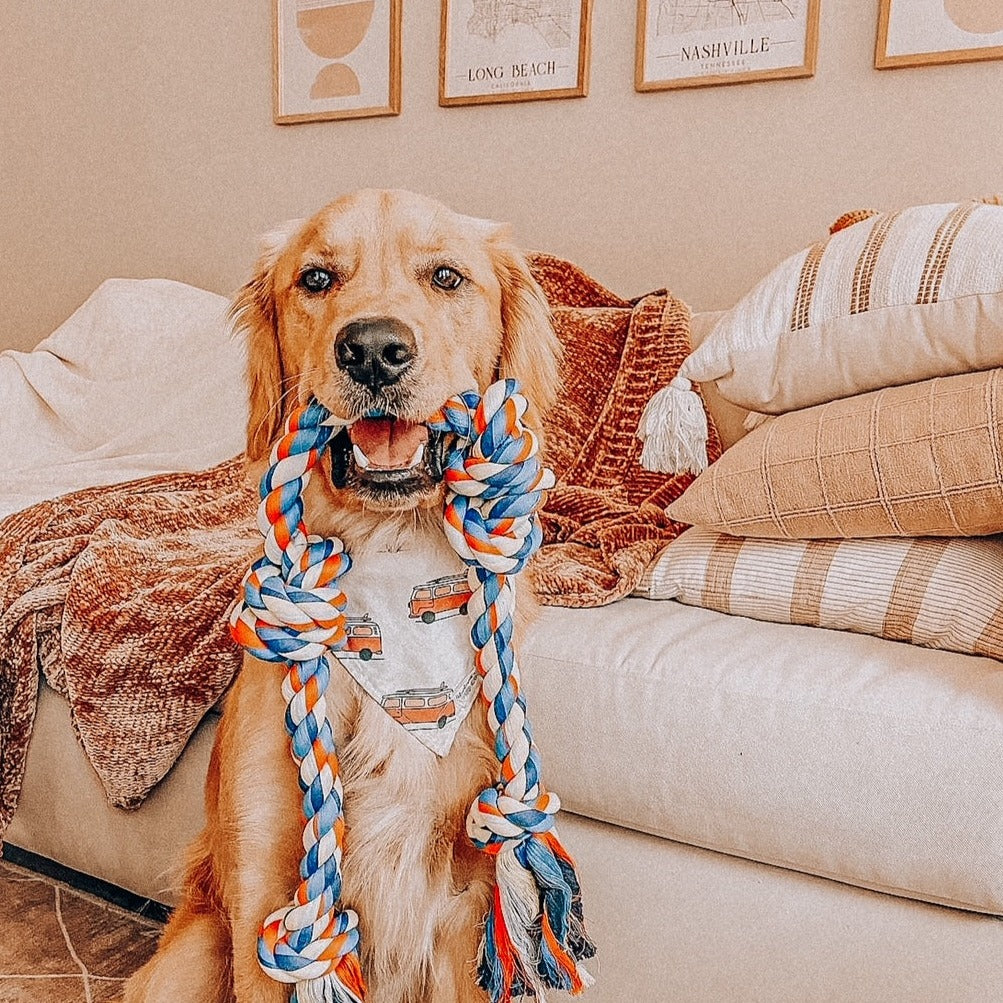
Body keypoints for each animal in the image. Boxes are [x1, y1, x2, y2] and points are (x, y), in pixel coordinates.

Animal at [123, 189, 565, 1003]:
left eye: (446, 277)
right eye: (317, 278)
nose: (373, 350)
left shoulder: (465, 901)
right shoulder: (270, 897)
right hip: (188, 960)